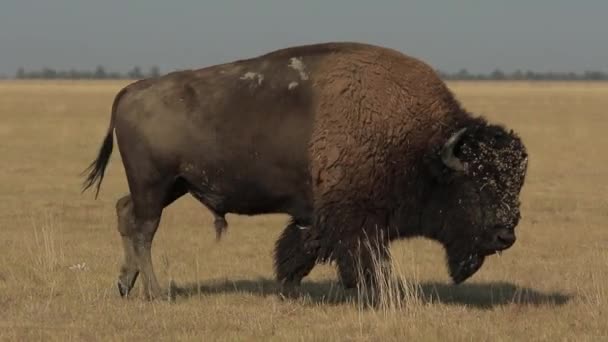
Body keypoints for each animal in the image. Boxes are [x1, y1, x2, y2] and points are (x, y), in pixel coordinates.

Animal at [81, 42, 528, 300]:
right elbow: (364, 261)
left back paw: (124, 285)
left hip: (173, 185)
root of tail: (130, 91)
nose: (506, 235)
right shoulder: (356, 221)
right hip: (154, 185)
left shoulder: (318, 216)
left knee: (125, 213)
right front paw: (378, 295)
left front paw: (288, 288)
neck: (421, 146)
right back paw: (156, 293)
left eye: (516, 184)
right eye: (476, 186)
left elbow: (299, 250)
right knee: (144, 230)